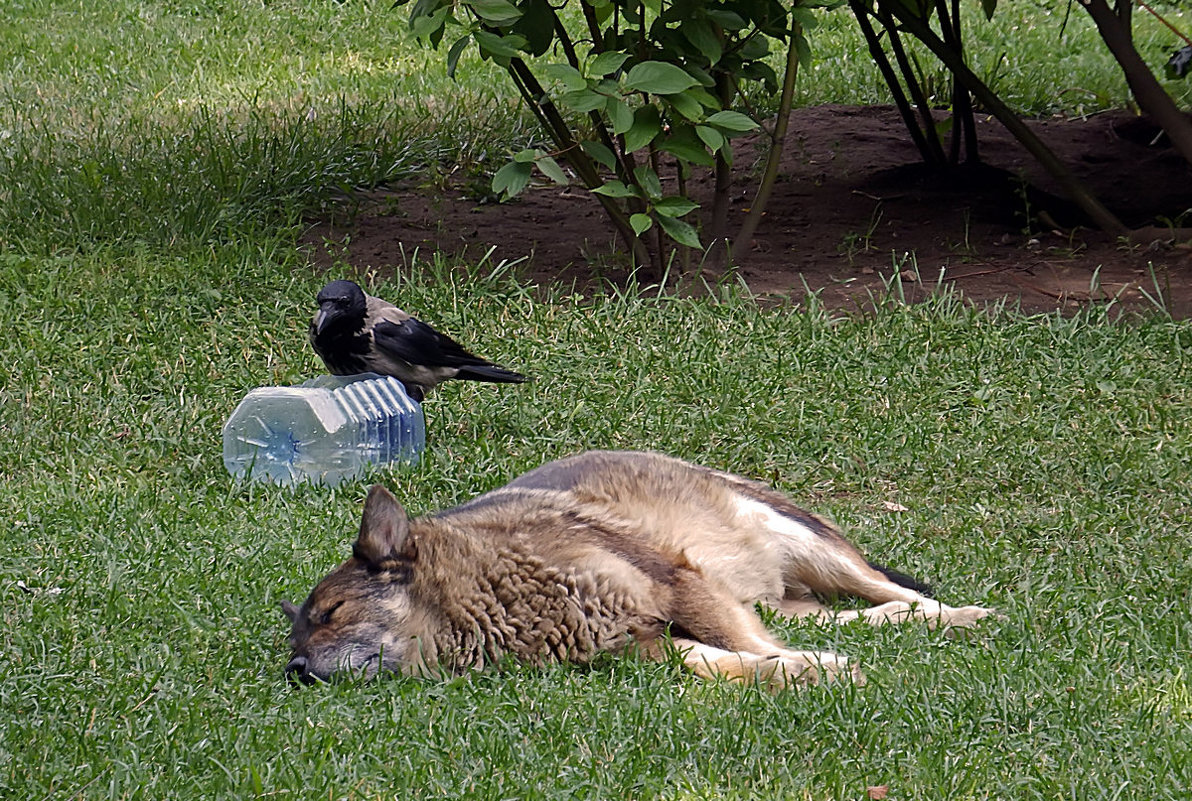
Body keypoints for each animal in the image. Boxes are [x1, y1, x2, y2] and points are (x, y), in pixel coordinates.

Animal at [281, 450, 996, 686]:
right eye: (295, 638)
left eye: (332, 613)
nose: (295, 672)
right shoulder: (640, 646)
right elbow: (728, 662)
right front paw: (798, 671)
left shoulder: (678, 584)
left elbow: (752, 648)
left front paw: (809, 670)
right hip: (781, 596)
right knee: (852, 614)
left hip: (807, 546)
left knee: (894, 592)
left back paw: (960, 616)